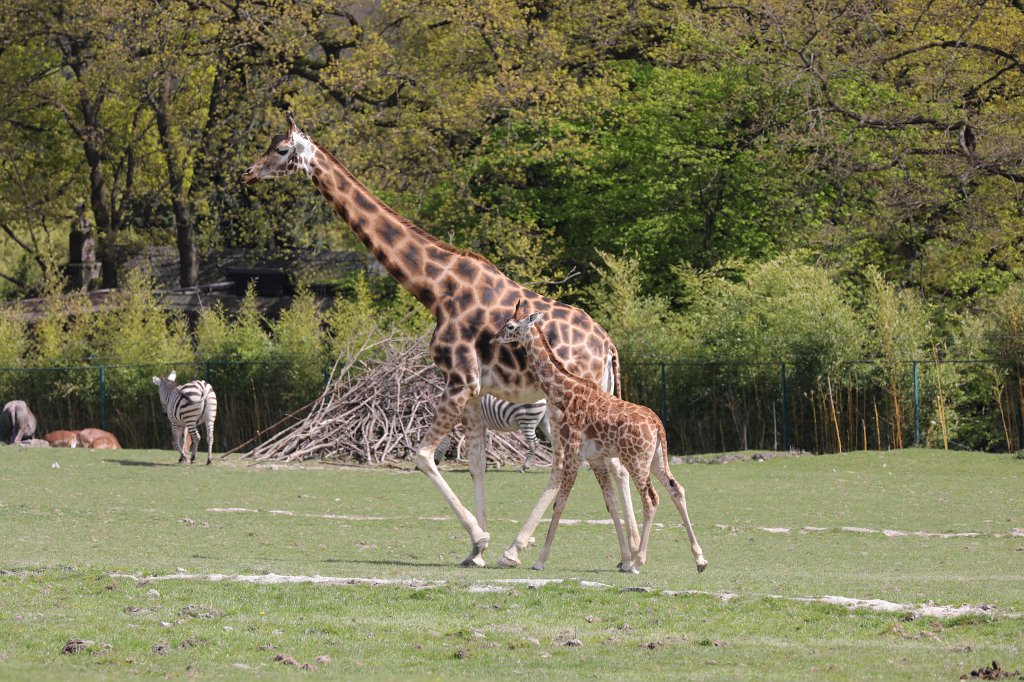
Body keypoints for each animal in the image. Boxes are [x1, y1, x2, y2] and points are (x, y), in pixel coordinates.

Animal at [240, 112, 638, 568]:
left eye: (281, 149)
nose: (247, 173)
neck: (433, 287)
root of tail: (607, 346)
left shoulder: (459, 380)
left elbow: (423, 456)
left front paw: (481, 540)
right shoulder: (473, 390)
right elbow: (477, 463)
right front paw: (475, 550)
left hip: (564, 402)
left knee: (566, 465)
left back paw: (519, 549)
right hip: (595, 400)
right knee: (610, 464)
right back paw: (629, 557)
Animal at [493, 303, 708, 574]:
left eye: (510, 326)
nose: (493, 338)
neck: (564, 392)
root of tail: (657, 425)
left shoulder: (573, 454)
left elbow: (560, 503)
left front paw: (540, 560)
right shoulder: (595, 458)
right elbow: (610, 503)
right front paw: (624, 558)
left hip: (636, 461)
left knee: (651, 499)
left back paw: (639, 562)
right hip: (657, 459)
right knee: (676, 489)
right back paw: (699, 559)